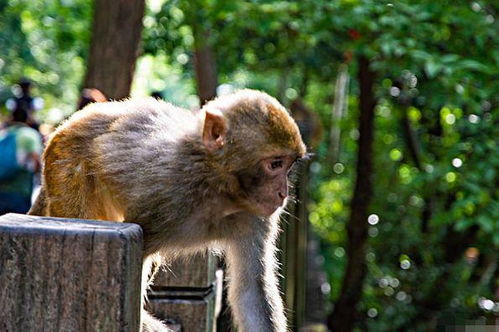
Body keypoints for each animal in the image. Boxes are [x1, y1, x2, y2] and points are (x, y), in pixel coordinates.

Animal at [30, 89, 308, 330]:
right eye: (275, 164)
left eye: (288, 166)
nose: (283, 193)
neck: (217, 188)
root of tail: (69, 122)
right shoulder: (164, 196)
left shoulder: (256, 215)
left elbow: (251, 290)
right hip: (66, 160)